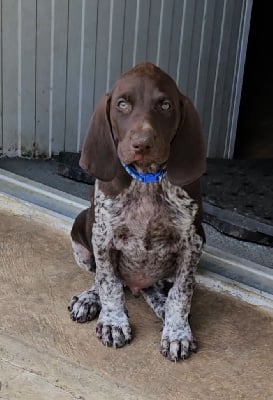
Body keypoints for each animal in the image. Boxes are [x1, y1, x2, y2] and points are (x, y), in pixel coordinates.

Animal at [67, 63, 204, 362]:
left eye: (165, 105)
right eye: (122, 104)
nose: (142, 144)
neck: (146, 179)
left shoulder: (193, 242)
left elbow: (181, 293)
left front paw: (177, 332)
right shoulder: (103, 238)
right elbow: (108, 284)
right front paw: (113, 321)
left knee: (158, 288)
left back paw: (161, 305)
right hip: (81, 232)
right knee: (101, 278)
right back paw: (89, 299)